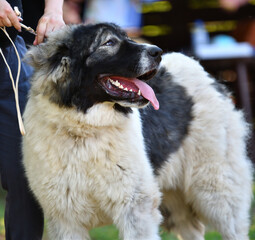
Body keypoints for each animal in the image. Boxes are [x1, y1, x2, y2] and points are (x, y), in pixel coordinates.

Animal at [22, 23, 253, 240]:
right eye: (109, 42)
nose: (157, 52)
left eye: (126, 37)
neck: (85, 130)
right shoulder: (65, 219)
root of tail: (202, 71)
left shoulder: (135, 208)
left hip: (216, 190)